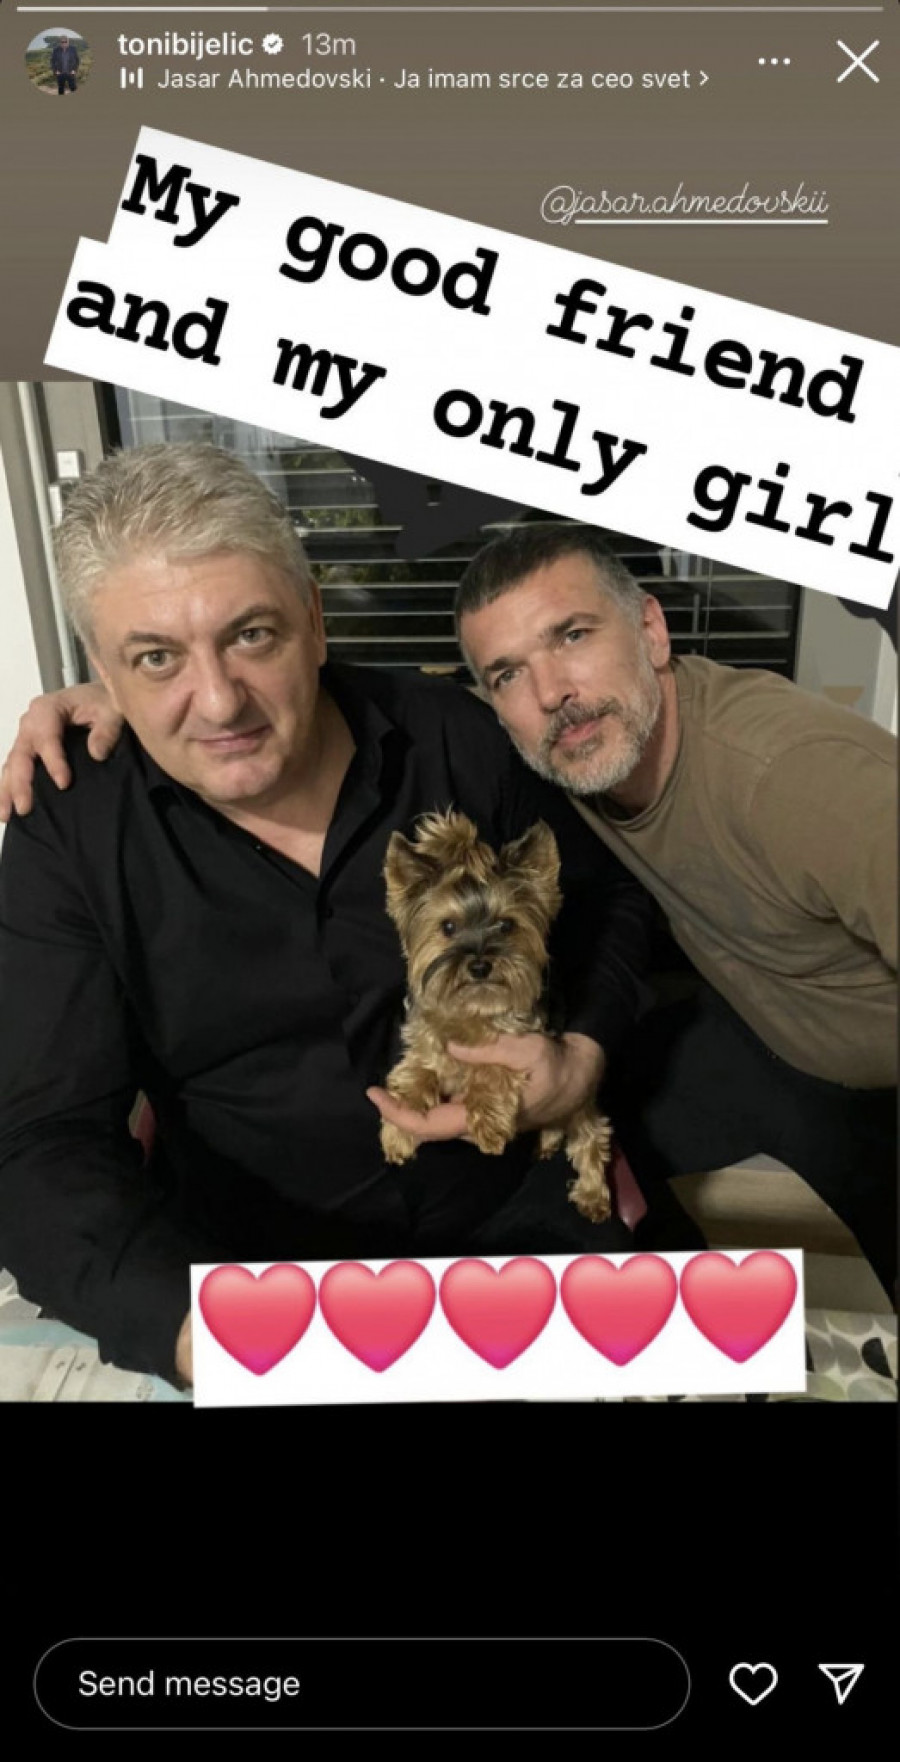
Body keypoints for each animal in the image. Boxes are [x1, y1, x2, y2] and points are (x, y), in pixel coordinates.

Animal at [379, 810, 612, 1223]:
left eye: (506, 925)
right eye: (448, 927)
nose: (479, 964)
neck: (473, 1010)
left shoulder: (523, 1041)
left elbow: (491, 1071)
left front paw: (487, 1121)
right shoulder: (425, 1038)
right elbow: (415, 1069)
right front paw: (398, 1125)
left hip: (579, 1098)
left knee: (590, 1135)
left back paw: (592, 1193)